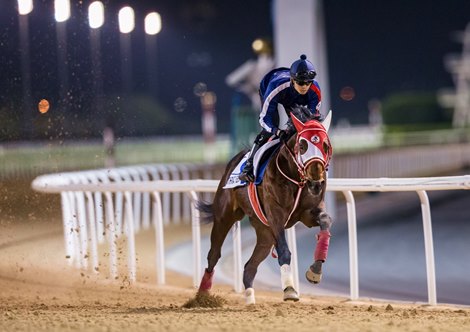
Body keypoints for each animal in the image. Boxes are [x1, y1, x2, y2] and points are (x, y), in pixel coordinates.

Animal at [196, 106, 332, 304]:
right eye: (302, 145)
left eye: (325, 145)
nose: (316, 182)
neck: (297, 179)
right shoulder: (276, 215)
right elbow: (284, 251)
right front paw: (289, 289)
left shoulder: (308, 212)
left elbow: (325, 221)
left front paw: (315, 271)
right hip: (224, 216)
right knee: (214, 254)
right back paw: (202, 295)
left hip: (264, 232)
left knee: (249, 266)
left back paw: (250, 299)